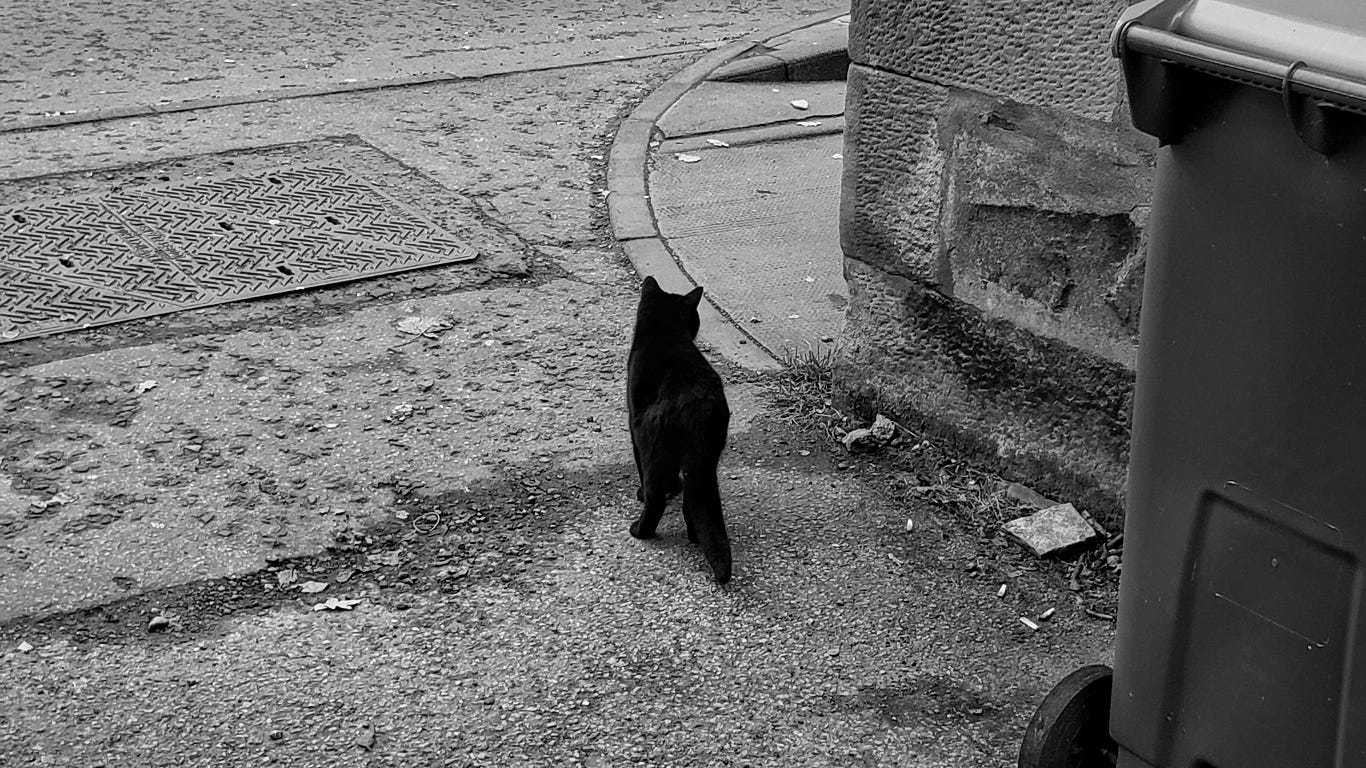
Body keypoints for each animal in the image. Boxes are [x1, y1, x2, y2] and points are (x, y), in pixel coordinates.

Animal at [625, 274, 732, 579]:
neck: (666, 332)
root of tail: (697, 406)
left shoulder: (634, 427)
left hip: (652, 446)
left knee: (655, 499)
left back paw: (640, 530)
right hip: (705, 460)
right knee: (694, 503)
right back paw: (695, 536)